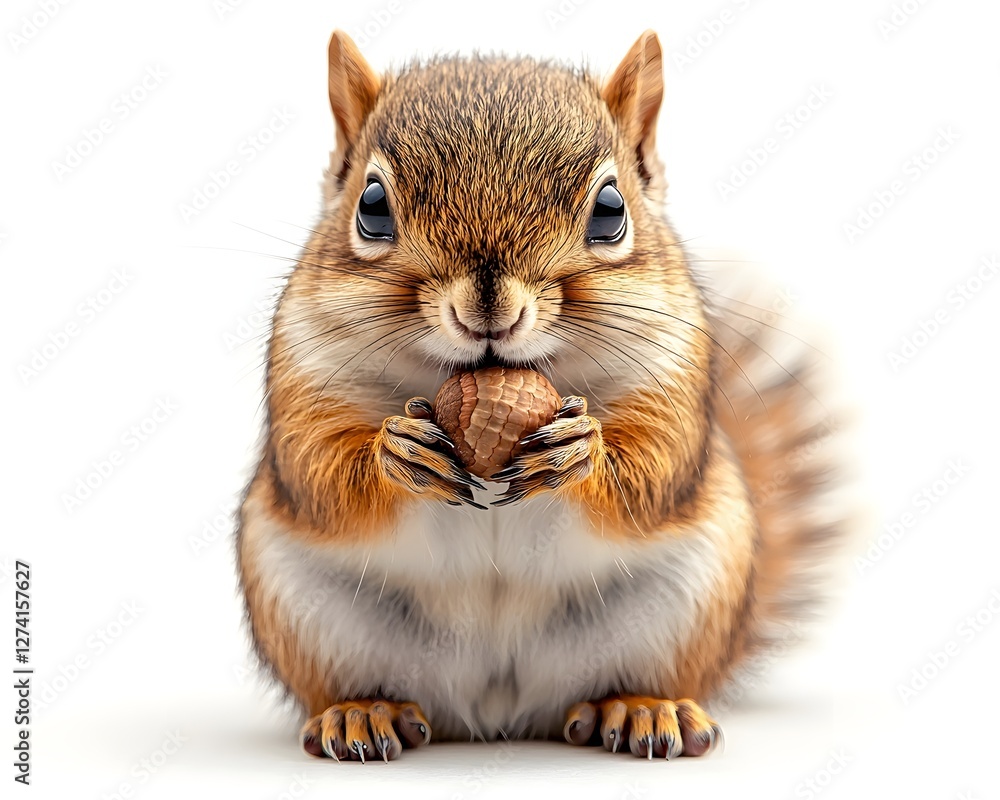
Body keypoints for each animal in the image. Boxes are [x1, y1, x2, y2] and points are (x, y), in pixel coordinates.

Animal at [236, 29, 848, 762]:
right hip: (304, 611)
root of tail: (499, 715)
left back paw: (640, 707)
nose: (487, 308)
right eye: (371, 206)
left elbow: (655, 469)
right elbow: (318, 471)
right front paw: (398, 451)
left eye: (611, 211)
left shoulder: (673, 376)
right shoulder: (306, 374)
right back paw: (361, 711)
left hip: (689, 601)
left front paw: (580, 450)